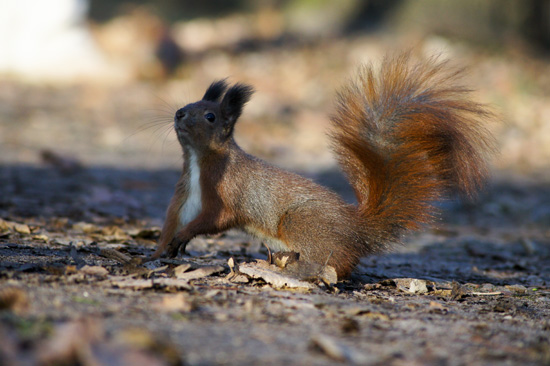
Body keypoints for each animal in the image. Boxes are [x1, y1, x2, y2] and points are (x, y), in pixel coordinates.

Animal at [146, 53, 496, 278]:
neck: (197, 161)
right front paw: (158, 252)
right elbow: (171, 221)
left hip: (300, 222)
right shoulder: (183, 196)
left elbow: (214, 219)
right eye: (189, 104)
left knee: (339, 263)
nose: (178, 113)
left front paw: (183, 238)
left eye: (210, 116)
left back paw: (303, 271)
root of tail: (357, 231)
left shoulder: (227, 193)